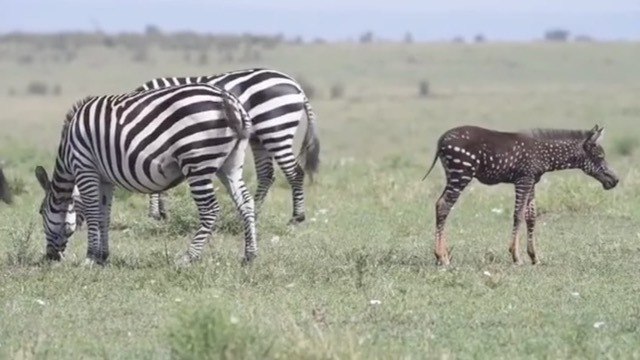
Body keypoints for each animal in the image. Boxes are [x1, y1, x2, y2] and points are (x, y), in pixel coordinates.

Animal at [34, 83, 255, 266]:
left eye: (41, 212)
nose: (50, 257)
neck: (68, 151)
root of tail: (228, 100)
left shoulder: (85, 167)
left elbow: (93, 214)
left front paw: (90, 257)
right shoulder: (105, 178)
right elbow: (104, 215)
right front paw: (102, 257)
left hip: (197, 160)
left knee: (210, 209)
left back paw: (188, 257)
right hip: (230, 163)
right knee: (246, 202)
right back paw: (250, 255)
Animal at [138, 68, 322, 225]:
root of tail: (297, 86)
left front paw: (156, 214)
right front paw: (161, 213)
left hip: (275, 130)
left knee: (295, 172)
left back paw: (296, 217)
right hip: (260, 137)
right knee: (266, 175)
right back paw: (252, 215)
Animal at [422, 125, 616, 266]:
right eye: (600, 156)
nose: (615, 180)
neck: (545, 154)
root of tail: (442, 140)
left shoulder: (531, 181)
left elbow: (531, 217)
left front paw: (534, 257)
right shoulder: (523, 180)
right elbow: (518, 215)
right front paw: (516, 256)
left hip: (452, 175)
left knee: (440, 204)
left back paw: (443, 255)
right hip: (461, 175)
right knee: (444, 206)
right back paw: (441, 257)